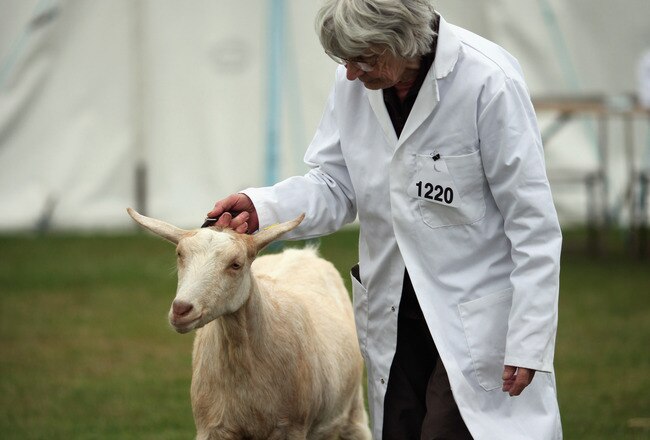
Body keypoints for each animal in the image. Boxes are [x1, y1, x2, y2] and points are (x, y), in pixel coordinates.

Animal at [127, 208, 370, 440]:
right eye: (180, 254)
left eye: (236, 264)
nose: (181, 309)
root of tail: (303, 252)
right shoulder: (212, 428)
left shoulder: (291, 427)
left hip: (353, 408)